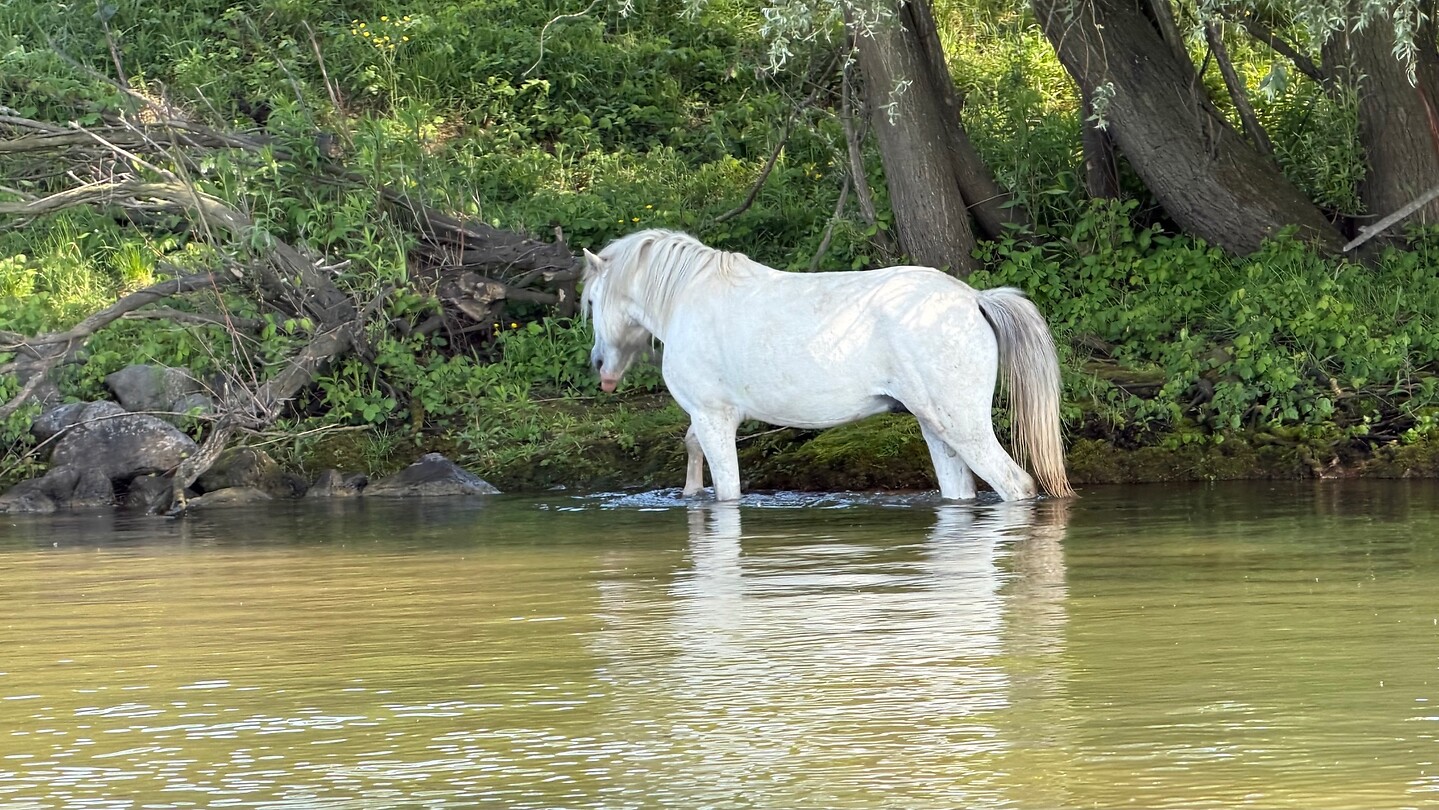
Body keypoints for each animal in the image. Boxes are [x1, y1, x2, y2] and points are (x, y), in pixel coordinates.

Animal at [581, 229, 1074, 502]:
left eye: (589, 301)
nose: (600, 365)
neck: (687, 296)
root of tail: (973, 298)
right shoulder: (708, 420)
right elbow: (691, 448)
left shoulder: (712, 417)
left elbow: (726, 490)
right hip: (937, 430)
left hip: (963, 428)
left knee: (1016, 485)